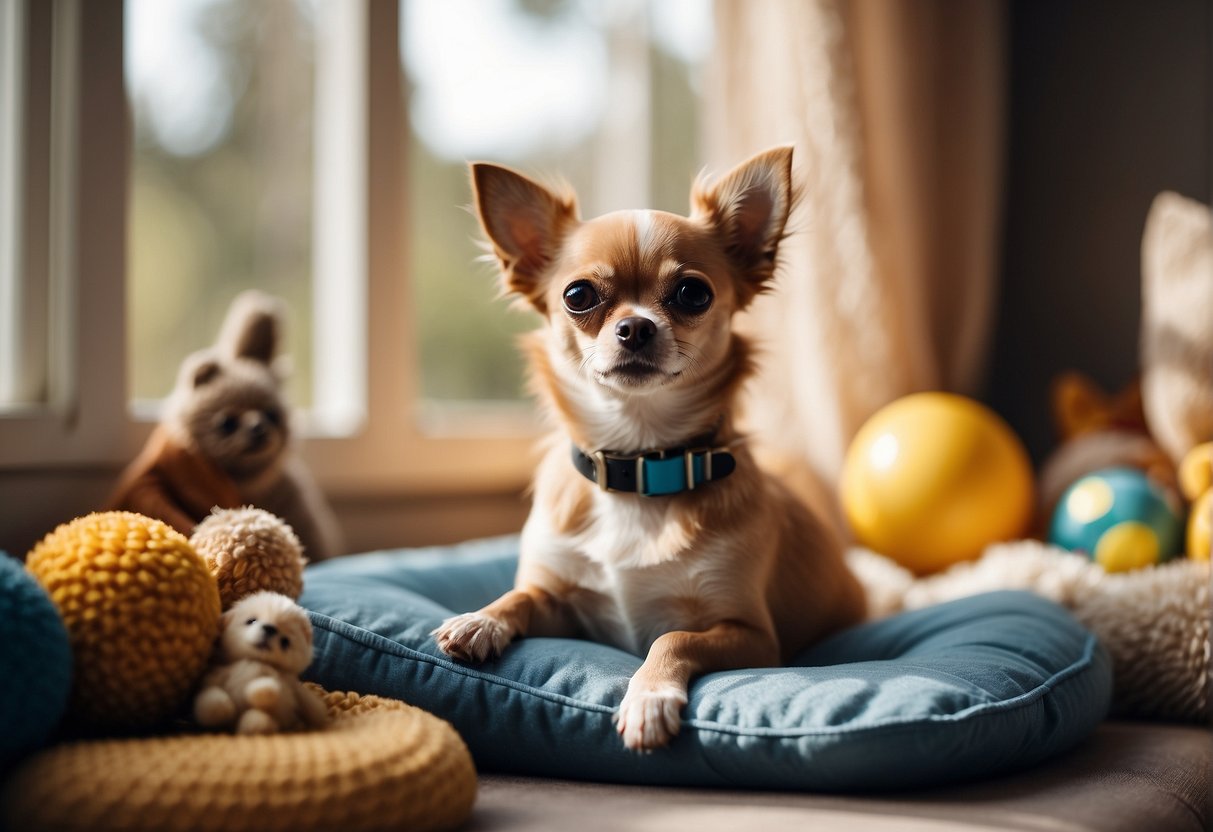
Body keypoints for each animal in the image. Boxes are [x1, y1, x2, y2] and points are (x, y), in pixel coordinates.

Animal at [431, 146, 868, 751]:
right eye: (578, 296)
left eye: (693, 293)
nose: (636, 327)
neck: (638, 464)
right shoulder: (564, 603)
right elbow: (522, 597)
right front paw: (481, 619)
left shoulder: (753, 634)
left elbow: (675, 637)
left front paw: (648, 698)